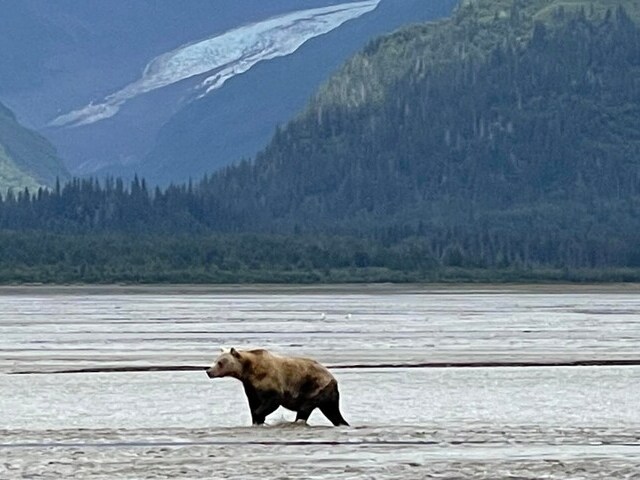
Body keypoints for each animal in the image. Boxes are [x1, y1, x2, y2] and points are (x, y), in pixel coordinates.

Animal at [206, 346, 350, 426]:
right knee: (333, 412)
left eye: (220, 362)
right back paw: (343, 423)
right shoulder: (250, 387)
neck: (248, 370)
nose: (208, 371)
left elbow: (272, 401)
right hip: (326, 395)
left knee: (305, 409)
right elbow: (253, 403)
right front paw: (256, 419)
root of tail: (333, 379)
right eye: (215, 361)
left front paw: (260, 417)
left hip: (315, 388)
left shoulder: (270, 381)